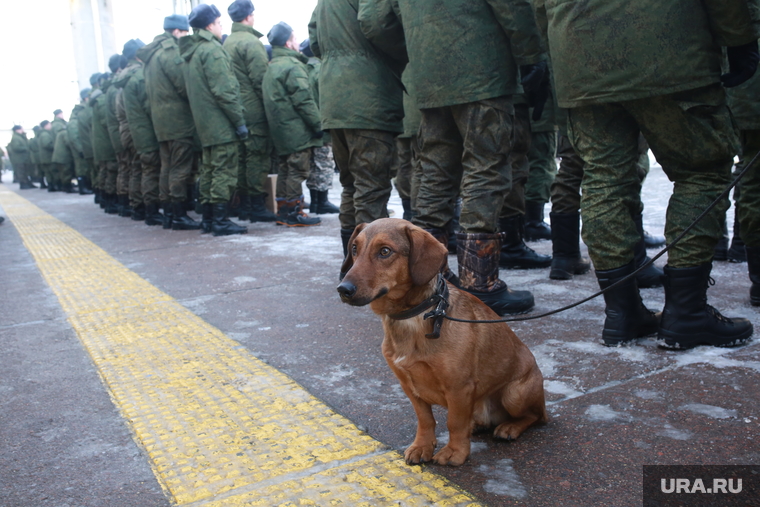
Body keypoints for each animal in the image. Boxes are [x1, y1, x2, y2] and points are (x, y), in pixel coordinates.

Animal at [338, 220, 548, 466]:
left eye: (385, 251)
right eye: (354, 249)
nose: (343, 289)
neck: (414, 317)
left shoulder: (459, 387)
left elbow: (454, 423)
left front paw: (455, 451)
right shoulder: (409, 386)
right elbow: (425, 420)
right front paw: (422, 446)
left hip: (514, 394)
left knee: (537, 416)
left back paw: (510, 427)